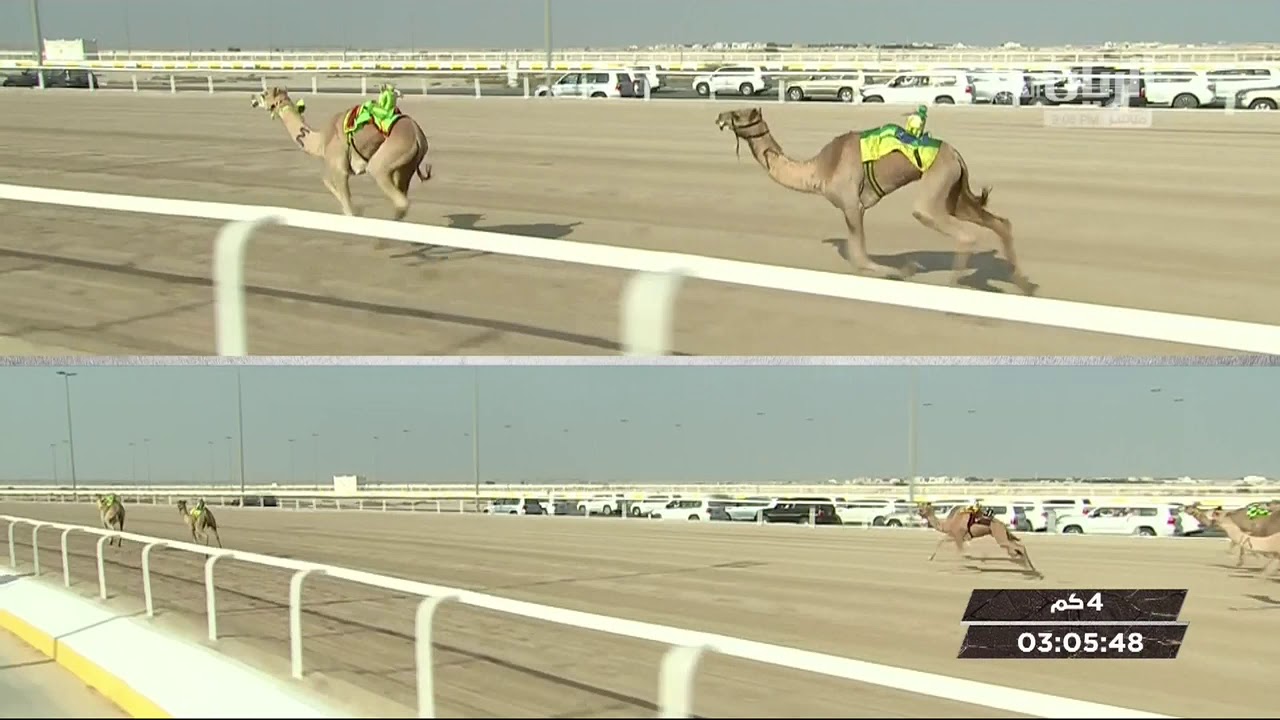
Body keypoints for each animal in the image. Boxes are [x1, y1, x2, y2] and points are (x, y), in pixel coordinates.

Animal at [250, 86, 433, 220]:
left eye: (264, 94)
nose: (252, 98)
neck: (321, 140)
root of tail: (417, 134)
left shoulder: (339, 167)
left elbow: (347, 206)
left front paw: (355, 211)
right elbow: (326, 181)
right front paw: (356, 209)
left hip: (387, 158)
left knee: (400, 200)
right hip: (406, 166)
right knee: (401, 197)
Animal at [715, 108, 1038, 295]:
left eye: (739, 115)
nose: (719, 117)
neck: (819, 169)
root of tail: (956, 154)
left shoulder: (850, 204)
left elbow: (860, 257)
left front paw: (899, 271)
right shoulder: (853, 208)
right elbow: (857, 255)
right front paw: (900, 270)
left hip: (937, 184)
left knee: (960, 231)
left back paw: (955, 286)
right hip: (955, 192)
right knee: (999, 222)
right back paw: (1023, 285)